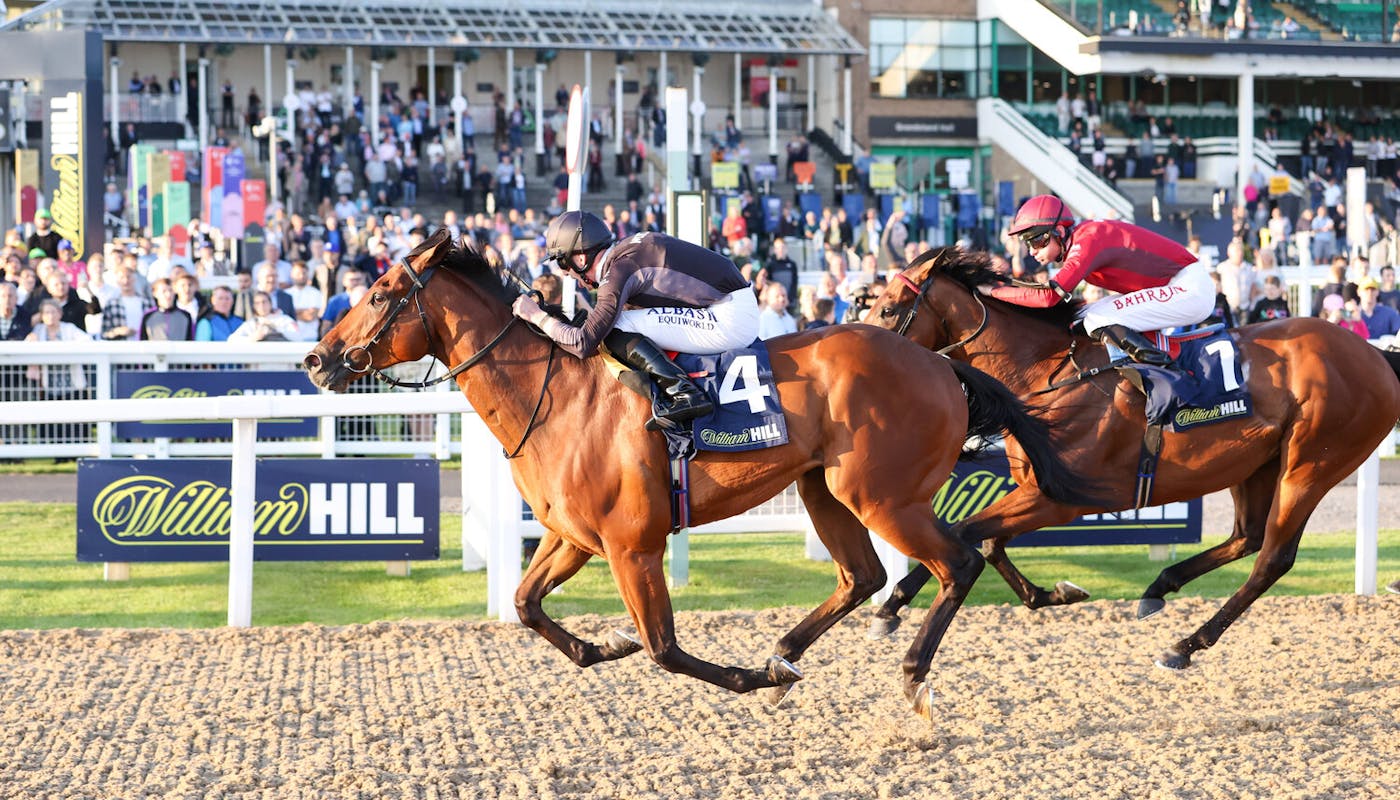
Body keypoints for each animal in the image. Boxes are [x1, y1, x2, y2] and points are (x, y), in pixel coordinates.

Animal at [303, 228, 1092, 717]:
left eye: (380, 293)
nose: (315, 359)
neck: (557, 398)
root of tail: (942, 363)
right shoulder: (573, 538)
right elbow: (527, 605)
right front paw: (601, 645)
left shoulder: (632, 546)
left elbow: (665, 648)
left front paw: (731, 675)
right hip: (825, 488)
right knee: (864, 576)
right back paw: (784, 662)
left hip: (884, 496)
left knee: (957, 560)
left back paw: (908, 676)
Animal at [862, 249, 1400, 669]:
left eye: (888, 309)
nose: (864, 351)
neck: (1045, 373)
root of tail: (1374, 355)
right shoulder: (1037, 487)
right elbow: (986, 541)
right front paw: (1053, 594)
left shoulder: (1059, 499)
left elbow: (963, 531)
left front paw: (891, 605)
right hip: (1256, 465)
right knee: (1246, 537)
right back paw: (1159, 587)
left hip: (1310, 465)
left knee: (1272, 557)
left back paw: (1186, 644)